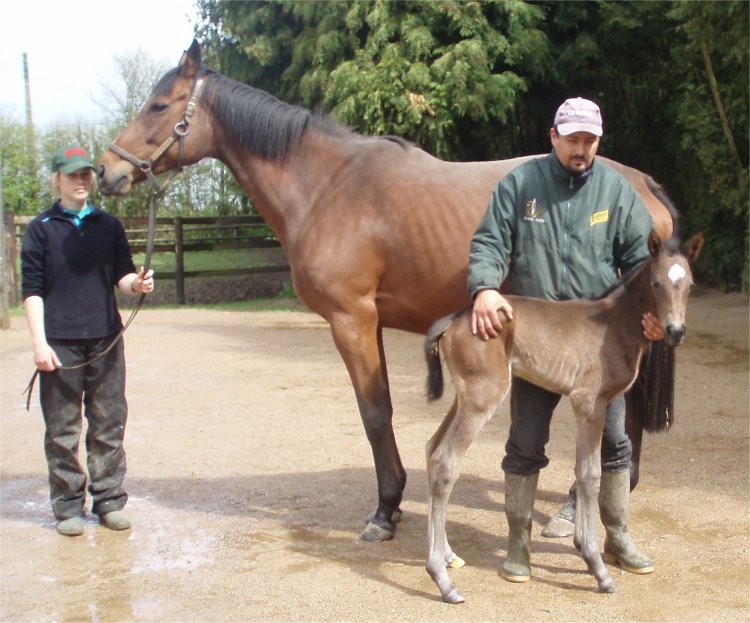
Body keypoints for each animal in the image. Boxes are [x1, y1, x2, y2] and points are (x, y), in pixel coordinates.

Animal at [98, 41, 676, 544]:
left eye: (158, 105)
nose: (108, 171)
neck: (326, 186)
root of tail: (645, 184)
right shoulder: (366, 321)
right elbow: (382, 411)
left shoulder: (350, 319)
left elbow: (375, 414)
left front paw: (385, 509)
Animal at [426, 232, 708, 604]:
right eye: (656, 282)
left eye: (689, 284)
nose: (675, 331)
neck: (615, 323)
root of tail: (455, 319)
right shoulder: (588, 402)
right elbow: (589, 475)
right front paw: (597, 567)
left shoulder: (600, 404)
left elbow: (590, 472)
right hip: (483, 396)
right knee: (445, 463)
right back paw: (441, 579)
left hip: (464, 397)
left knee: (431, 449)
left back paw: (446, 554)